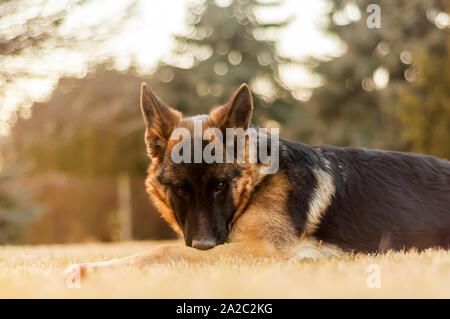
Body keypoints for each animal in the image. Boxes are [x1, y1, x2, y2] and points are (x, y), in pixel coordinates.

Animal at [67, 84, 450, 276]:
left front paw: (88, 268)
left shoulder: (259, 249)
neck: (257, 186)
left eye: (220, 185)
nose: (204, 244)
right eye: (180, 189)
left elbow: (162, 252)